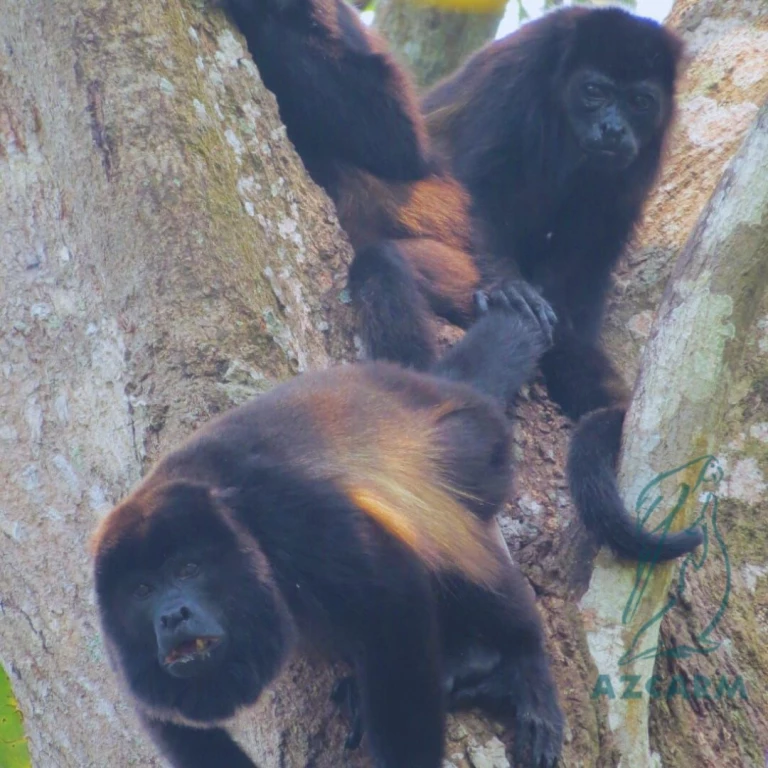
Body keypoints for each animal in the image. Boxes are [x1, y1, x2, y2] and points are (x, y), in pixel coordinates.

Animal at [93, 286, 568, 768]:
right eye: (143, 590)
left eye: (187, 569)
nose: (173, 614)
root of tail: (442, 387)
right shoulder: (117, 647)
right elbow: (175, 728)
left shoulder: (286, 512)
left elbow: (393, 595)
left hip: (471, 445)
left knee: (443, 539)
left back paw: (519, 664)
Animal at [424, 7, 704, 564]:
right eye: (594, 91)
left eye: (640, 101)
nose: (614, 127)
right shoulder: (517, 81)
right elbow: (477, 184)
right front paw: (509, 287)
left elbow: (586, 257)